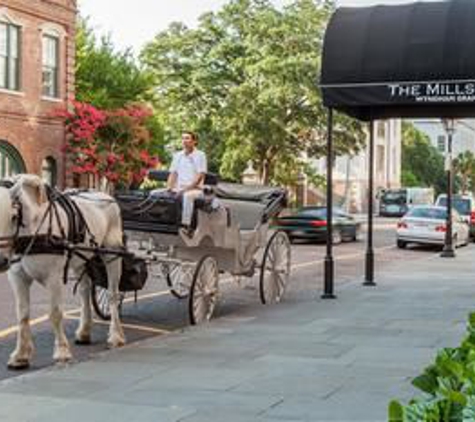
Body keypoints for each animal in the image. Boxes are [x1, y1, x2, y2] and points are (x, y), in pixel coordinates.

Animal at [0, 173, 125, 368]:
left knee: (112, 294)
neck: (33, 229)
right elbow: (22, 314)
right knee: (84, 291)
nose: (0, 261)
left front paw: (62, 351)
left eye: (13, 216)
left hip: (112, 254)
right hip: (82, 259)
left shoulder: (53, 277)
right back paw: (84, 331)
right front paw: (20, 355)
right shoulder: (18, 277)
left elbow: (55, 313)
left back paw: (116, 335)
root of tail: (106, 195)